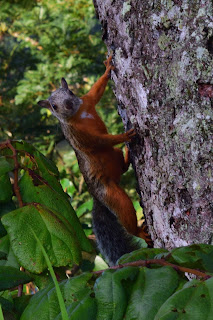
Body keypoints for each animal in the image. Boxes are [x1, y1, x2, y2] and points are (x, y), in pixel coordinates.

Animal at [38, 55, 151, 264]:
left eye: (70, 92)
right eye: (54, 107)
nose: (68, 105)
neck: (78, 114)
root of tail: (97, 198)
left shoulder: (87, 101)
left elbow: (96, 91)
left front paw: (107, 69)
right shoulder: (80, 137)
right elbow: (101, 141)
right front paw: (122, 136)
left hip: (114, 157)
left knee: (121, 166)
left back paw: (126, 155)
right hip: (111, 194)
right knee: (125, 213)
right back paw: (139, 231)